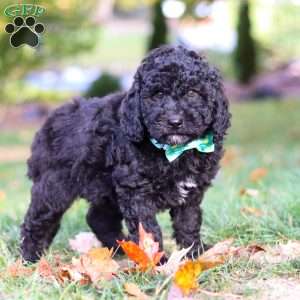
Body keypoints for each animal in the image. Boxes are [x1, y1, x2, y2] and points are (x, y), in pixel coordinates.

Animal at [19, 45, 230, 262]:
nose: (174, 121)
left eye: (192, 93)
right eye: (158, 94)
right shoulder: (136, 191)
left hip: (104, 186)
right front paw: (157, 261)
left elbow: (188, 222)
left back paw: (121, 248)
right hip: (54, 186)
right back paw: (30, 257)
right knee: (38, 220)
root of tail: (47, 123)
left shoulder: (191, 193)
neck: (174, 152)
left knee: (98, 218)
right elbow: (149, 230)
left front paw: (196, 253)